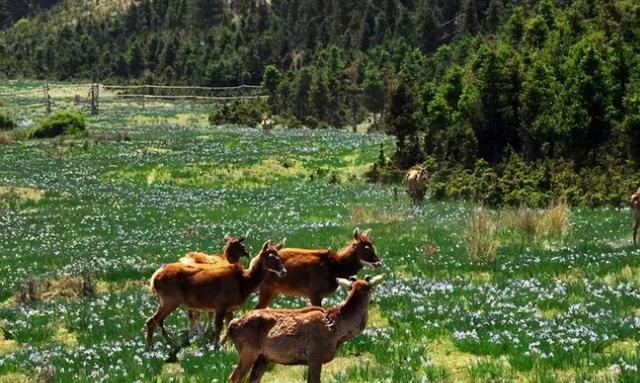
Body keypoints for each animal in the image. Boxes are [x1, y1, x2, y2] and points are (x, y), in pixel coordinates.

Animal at [146, 243, 286, 352]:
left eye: (279, 255)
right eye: (271, 256)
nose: (284, 271)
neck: (243, 283)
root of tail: (154, 279)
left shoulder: (229, 308)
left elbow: (229, 325)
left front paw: (225, 346)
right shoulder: (221, 304)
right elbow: (218, 327)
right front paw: (215, 348)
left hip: (165, 301)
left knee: (152, 320)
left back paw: (152, 348)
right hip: (171, 299)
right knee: (155, 320)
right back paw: (165, 346)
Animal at [226, 276, 382, 383]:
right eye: (371, 289)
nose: (373, 300)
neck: (337, 333)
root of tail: (232, 325)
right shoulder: (314, 355)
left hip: (262, 358)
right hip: (247, 351)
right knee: (232, 378)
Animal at [254, 230, 384, 310]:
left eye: (374, 246)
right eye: (366, 248)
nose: (379, 262)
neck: (336, 267)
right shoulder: (314, 292)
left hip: (274, 290)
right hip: (266, 286)